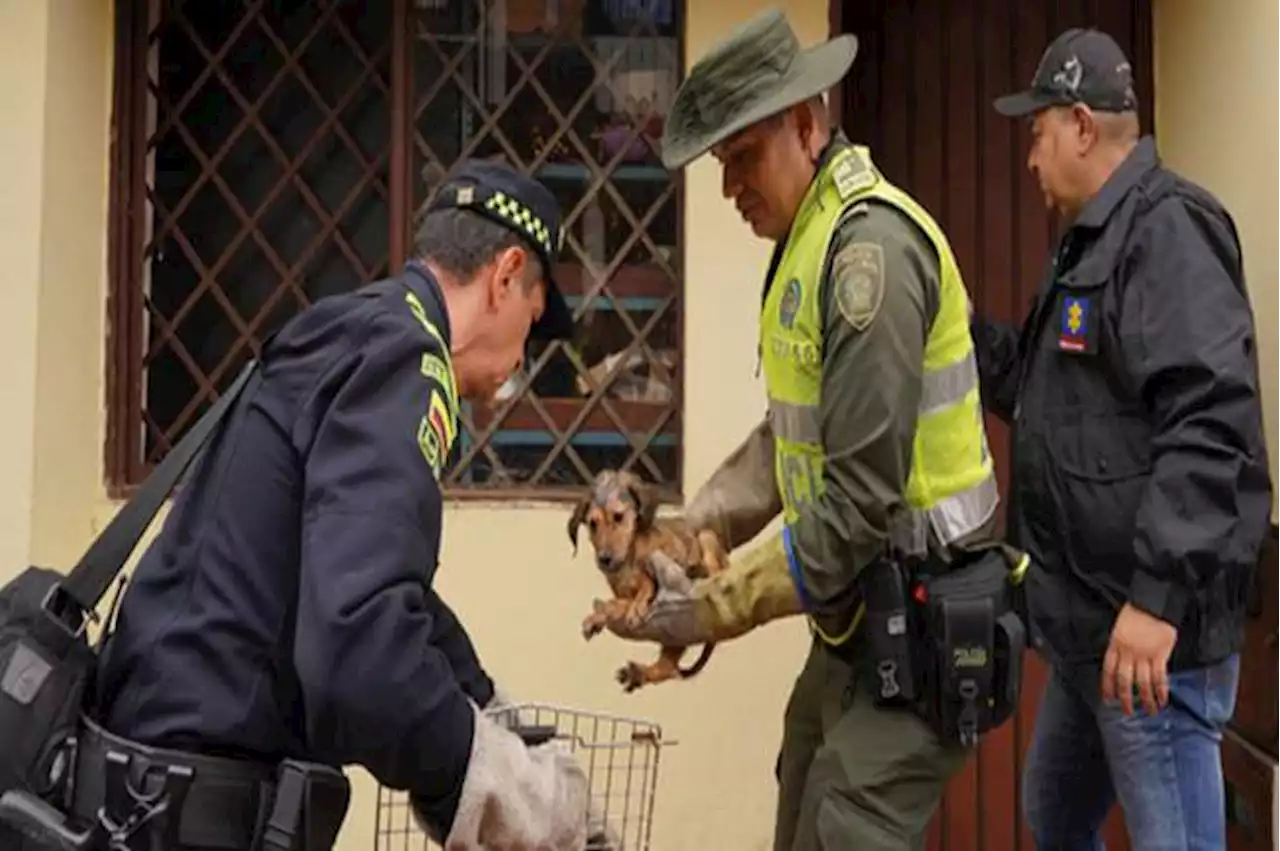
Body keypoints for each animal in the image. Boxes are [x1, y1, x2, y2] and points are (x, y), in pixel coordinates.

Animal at [570, 468, 732, 696]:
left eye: (618, 517)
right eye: (592, 524)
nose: (605, 559)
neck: (629, 559)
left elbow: (648, 583)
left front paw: (635, 605)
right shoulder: (622, 591)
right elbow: (619, 601)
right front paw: (601, 615)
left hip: (707, 539)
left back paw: (701, 572)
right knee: (667, 668)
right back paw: (637, 673)